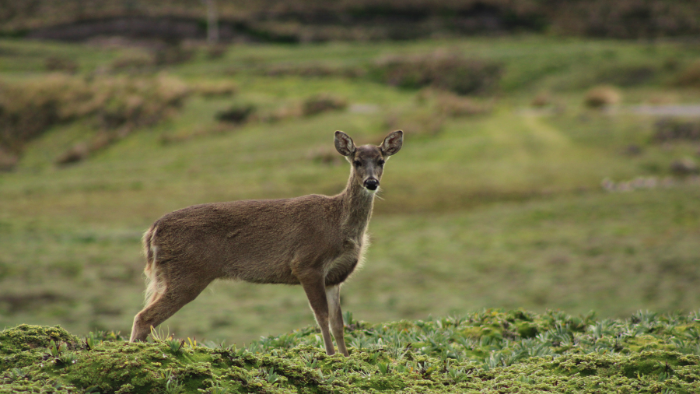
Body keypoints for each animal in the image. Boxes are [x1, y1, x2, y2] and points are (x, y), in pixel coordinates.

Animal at [130, 130, 404, 358]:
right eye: (356, 161)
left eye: (381, 160)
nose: (371, 182)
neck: (339, 224)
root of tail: (152, 231)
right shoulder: (306, 263)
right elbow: (321, 317)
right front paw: (330, 356)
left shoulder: (335, 277)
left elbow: (339, 323)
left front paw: (346, 357)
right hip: (186, 273)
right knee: (143, 317)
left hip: (169, 275)